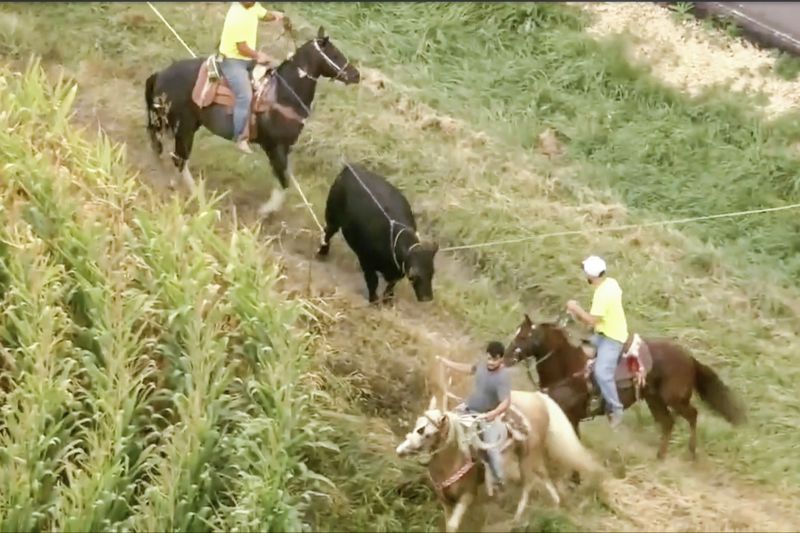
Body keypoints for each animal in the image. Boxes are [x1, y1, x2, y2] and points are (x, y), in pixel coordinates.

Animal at [144, 25, 360, 216]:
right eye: (335, 54)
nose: (356, 75)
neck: (284, 94)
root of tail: (161, 74)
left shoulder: (284, 148)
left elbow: (282, 177)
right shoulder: (275, 147)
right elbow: (284, 181)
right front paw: (267, 210)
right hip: (185, 127)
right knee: (179, 158)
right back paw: (195, 193)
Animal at [394, 388, 600, 528]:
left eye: (426, 433)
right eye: (416, 425)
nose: (400, 450)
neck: (454, 459)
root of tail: (537, 397)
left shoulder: (467, 496)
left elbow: (453, 524)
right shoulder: (445, 501)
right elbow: (449, 524)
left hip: (527, 456)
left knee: (529, 483)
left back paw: (517, 518)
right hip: (533, 455)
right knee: (543, 475)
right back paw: (556, 504)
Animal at [504, 314, 748, 460]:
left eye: (523, 336)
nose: (505, 359)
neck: (569, 366)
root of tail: (688, 357)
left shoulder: (571, 417)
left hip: (674, 398)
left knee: (692, 415)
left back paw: (692, 452)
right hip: (654, 399)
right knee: (668, 423)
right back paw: (660, 456)